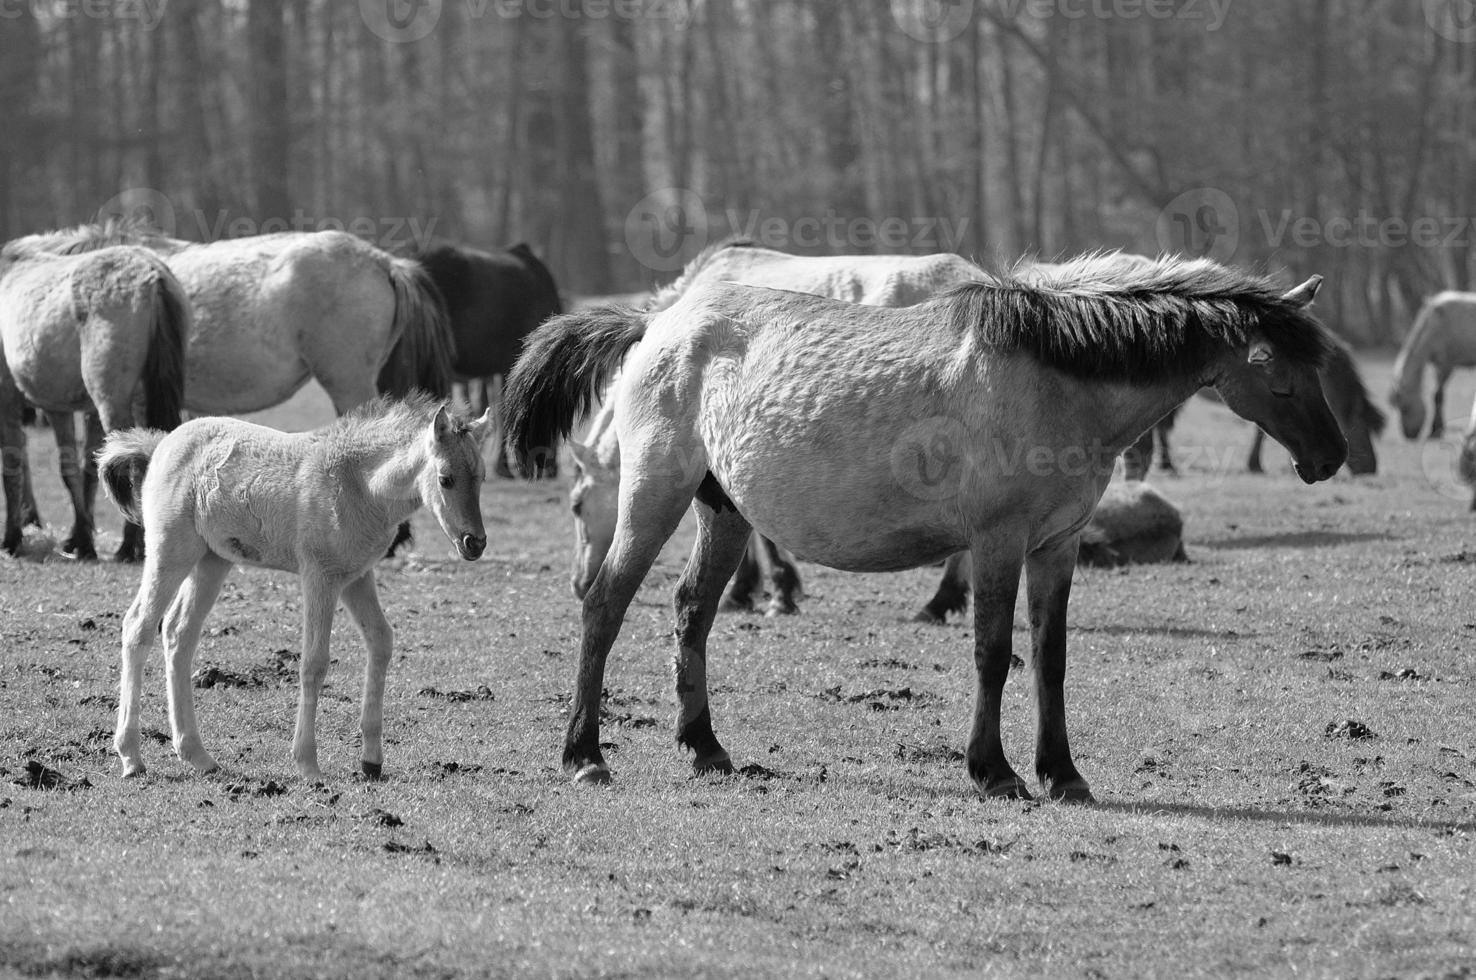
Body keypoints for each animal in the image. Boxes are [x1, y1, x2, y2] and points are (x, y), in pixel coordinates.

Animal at [98, 389, 492, 779]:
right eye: (445, 478)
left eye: (482, 477)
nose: (475, 543)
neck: (359, 484)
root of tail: (162, 444)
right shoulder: (320, 577)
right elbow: (314, 662)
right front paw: (308, 762)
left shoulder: (357, 576)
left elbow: (381, 641)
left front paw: (371, 761)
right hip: (171, 551)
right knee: (139, 626)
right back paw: (131, 756)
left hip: (212, 560)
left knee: (179, 633)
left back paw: (198, 755)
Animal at [510, 253, 1352, 802]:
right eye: (1276, 370)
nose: (1330, 456)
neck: (1056, 376)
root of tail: (655, 325)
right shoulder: (997, 543)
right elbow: (993, 654)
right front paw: (995, 771)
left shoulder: (1056, 547)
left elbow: (1051, 659)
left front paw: (1063, 774)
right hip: (655, 494)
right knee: (605, 605)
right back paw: (584, 755)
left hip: (724, 511)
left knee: (692, 611)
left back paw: (707, 748)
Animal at [1381, 290, 1476, 439]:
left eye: (1405, 407)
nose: (1409, 435)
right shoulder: (1438, 365)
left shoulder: (1446, 364)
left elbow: (1437, 396)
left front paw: (1436, 429)